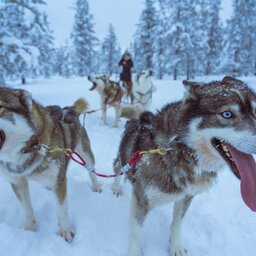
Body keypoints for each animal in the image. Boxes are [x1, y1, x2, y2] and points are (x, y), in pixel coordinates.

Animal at [0, 88, 101, 242]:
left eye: (0, 107)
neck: (30, 147)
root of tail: (69, 109)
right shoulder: (17, 181)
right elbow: (26, 208)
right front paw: (29, 229)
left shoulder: (59, 181)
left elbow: (62, 209)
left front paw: (65, 231)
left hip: (86, 154)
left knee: (91, 171)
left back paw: (96, 186)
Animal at [112, 76, 256, 256]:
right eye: (227, 114)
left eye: (255, 112)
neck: (179, 149)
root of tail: (140, 118)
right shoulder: (141, 199)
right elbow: (136, 232)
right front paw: (134, 252)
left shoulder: (187, 196)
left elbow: (177, 223)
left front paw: (176, 246)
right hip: (123, 159)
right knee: (117, 166)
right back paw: (116, 187)